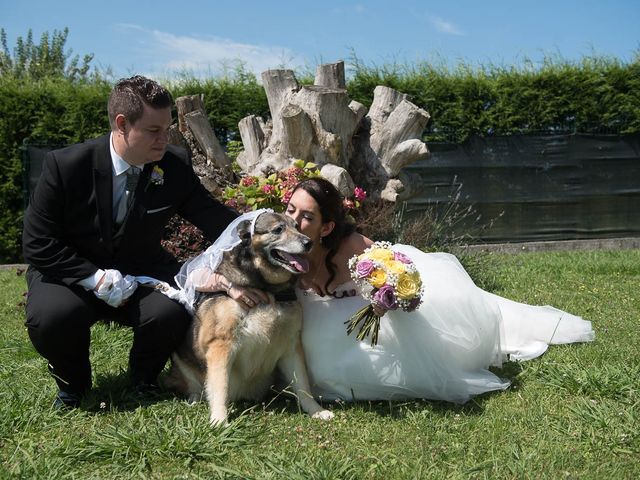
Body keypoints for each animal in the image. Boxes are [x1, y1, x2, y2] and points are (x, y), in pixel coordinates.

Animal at [164, 210, 336, 424]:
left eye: (297, 226)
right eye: (278, 229)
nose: (308, 243)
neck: (267, 290)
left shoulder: (291, 345)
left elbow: (303, 385)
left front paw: (316, 411)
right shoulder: (221, 346)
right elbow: (220, 387)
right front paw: (219, 420)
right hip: (181, 361)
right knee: (194, 387)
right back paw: (194, 398)